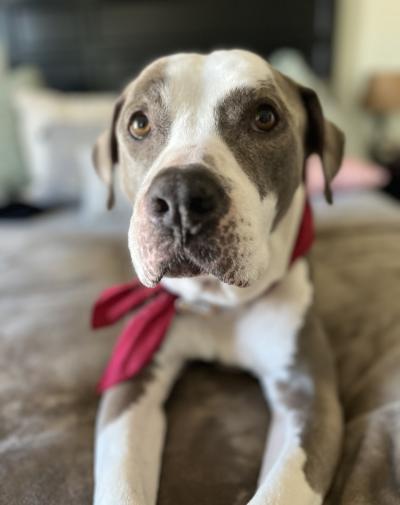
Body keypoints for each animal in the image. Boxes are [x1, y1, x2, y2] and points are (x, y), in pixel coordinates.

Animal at [92, 48, 346, 504]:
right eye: (139, 123)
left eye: (265, 117)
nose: (180, 195)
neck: (217, 302)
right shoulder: (133, 373)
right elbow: (121, 481)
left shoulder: (311, 399)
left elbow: (282, 488)